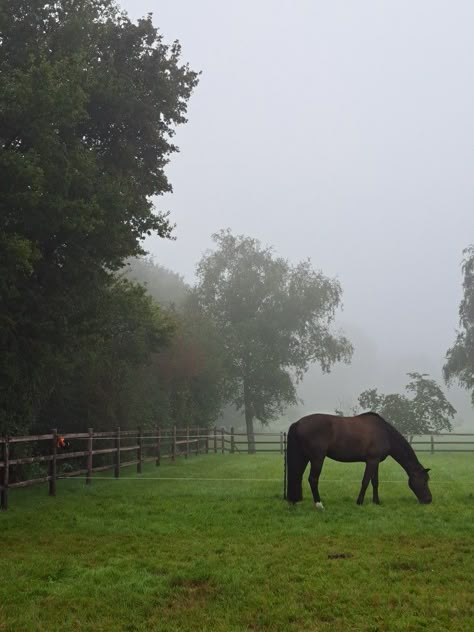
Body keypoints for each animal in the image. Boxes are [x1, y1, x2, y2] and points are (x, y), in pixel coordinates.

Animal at [286, 410, 434, 508]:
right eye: (424, 480)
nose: (428, 500)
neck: (385, 433)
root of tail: (298, 423)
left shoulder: (376, 462)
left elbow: (375, 482)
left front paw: (376, 502)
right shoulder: (371, 461)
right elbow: (365, 481)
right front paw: (360, 502)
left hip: (304, 457)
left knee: (297, 475)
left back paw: (295, 501)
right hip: (317, 458)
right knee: (313, 479)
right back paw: (319, 504)